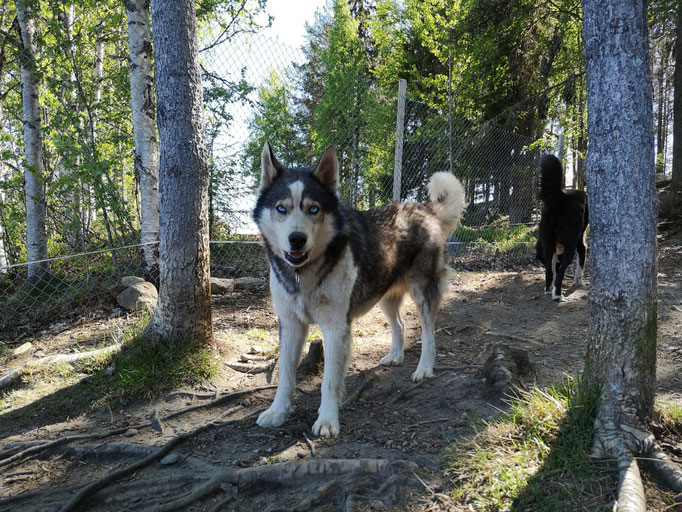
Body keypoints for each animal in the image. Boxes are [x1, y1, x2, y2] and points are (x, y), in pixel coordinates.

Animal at [532, 154, 588, 302]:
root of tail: (561, 197)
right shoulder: (578, 240)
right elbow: (581, 257)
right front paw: (578, 280)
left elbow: (551, 268)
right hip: (570, 243)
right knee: (562, 269)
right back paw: (557, 295)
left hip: (549, 241)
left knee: (549, 271)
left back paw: (548, 290)